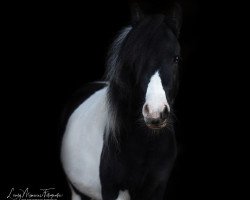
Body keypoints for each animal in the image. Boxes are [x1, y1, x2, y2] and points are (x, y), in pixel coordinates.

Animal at [60, 3, 182, 200]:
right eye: (136, 58)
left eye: (176, 58)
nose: (155, 112)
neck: (145, 146)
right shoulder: (112, 191)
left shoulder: (157, 189)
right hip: (76, 191)